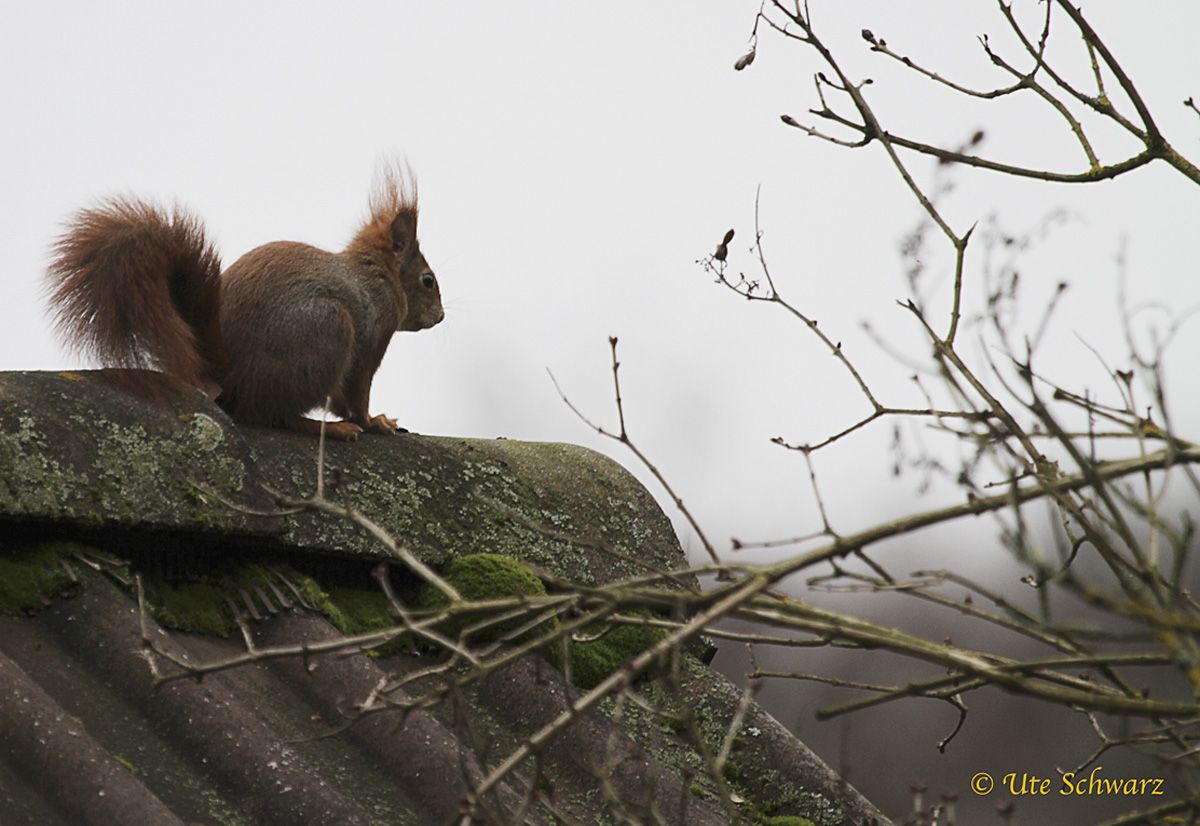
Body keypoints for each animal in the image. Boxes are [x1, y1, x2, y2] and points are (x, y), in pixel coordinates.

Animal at [45, 168, 446, 439]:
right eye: (428, 280)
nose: (441, 317)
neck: (376, 272)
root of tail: (228, 371)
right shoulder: (374, 329)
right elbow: (356, 392)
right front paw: (374, 422)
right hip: (328, 330)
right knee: (273, 413)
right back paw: (329, 429)